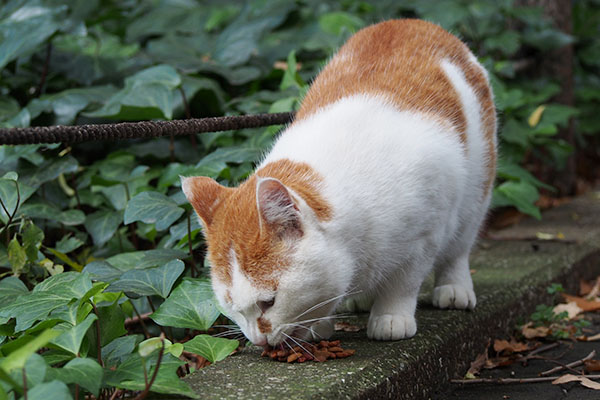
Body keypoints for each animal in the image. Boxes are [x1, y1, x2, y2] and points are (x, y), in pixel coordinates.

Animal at [182, 18, 496, 346]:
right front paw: (320, 324)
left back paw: (454, 288)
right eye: (231, 306)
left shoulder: (425, 235)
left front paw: (390, 316)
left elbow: (404, 283)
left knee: (459, 245)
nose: (258, 340)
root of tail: (410, 21)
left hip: (475, 191)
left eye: (269, 302)